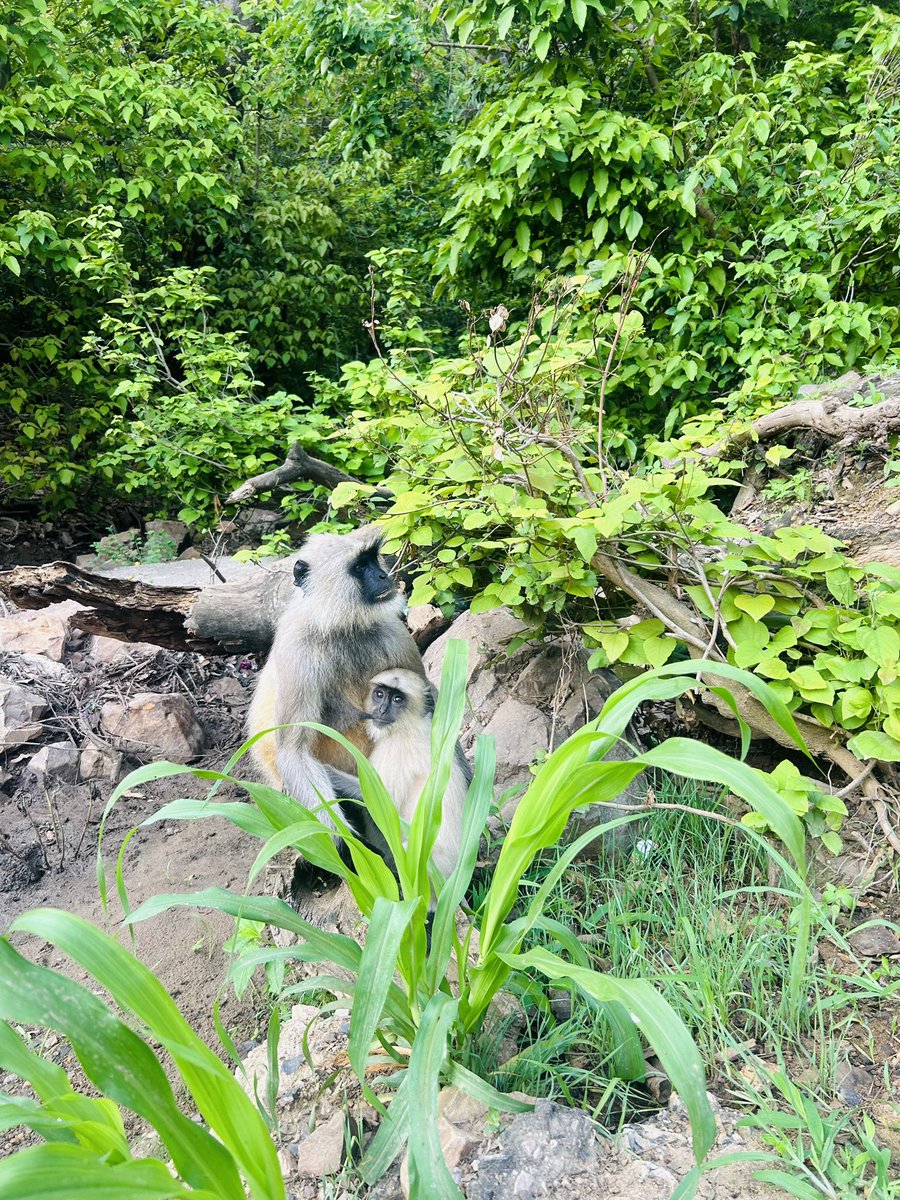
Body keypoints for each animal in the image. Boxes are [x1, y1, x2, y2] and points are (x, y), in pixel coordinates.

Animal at [246, 528, 427, 844]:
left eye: (374, 560)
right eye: (360, 567)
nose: (384, 575)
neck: (342, 628)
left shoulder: (393, 632)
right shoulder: (298, 651)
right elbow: (293, 752)